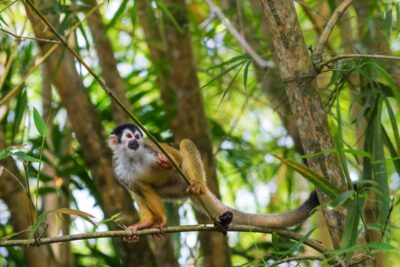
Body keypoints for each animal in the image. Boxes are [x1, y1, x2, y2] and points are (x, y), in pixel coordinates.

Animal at [107, 124, 318, 242]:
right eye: (129, 137)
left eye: (138, 136)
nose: (135, 141)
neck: (133, 156)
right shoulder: (119, 171)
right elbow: (141, 189)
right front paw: (154, 221)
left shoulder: (150, 147)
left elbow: (175, 156)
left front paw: (166, 162)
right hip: (173, 191)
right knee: (140, 190)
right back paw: (150, 221)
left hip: (184, 178)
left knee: (185, 144)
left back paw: (198, 184)